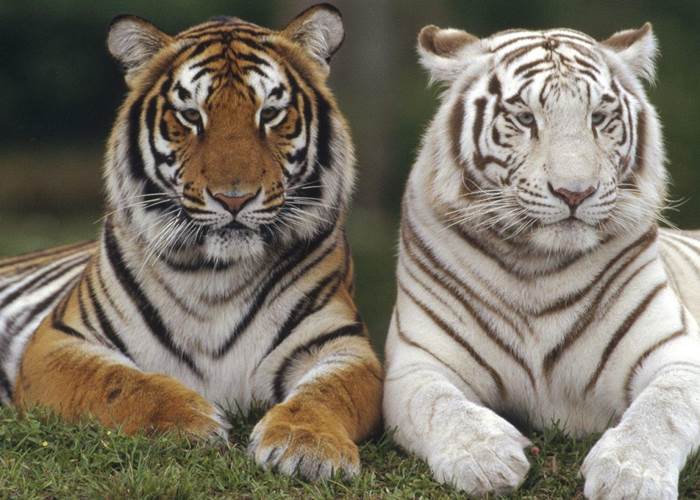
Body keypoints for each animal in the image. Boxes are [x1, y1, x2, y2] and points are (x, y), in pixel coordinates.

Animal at [0, 3, 382, 480]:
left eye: (270, 114)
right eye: (191, 116)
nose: (234, 198)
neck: (215, 274)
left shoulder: (341, 344)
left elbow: (328, 393)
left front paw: (308, 445)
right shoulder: (57, 341)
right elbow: (117, 382)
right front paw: (189, 420)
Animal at [383, 22, 700, 499]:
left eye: (598, 117)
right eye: (525, 118)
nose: (575, 192)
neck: (537, 267)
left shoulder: (678, 354)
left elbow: (662, 409)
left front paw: (629, 475)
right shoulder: (417, 363)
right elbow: (437, 404)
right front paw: (486, 458)